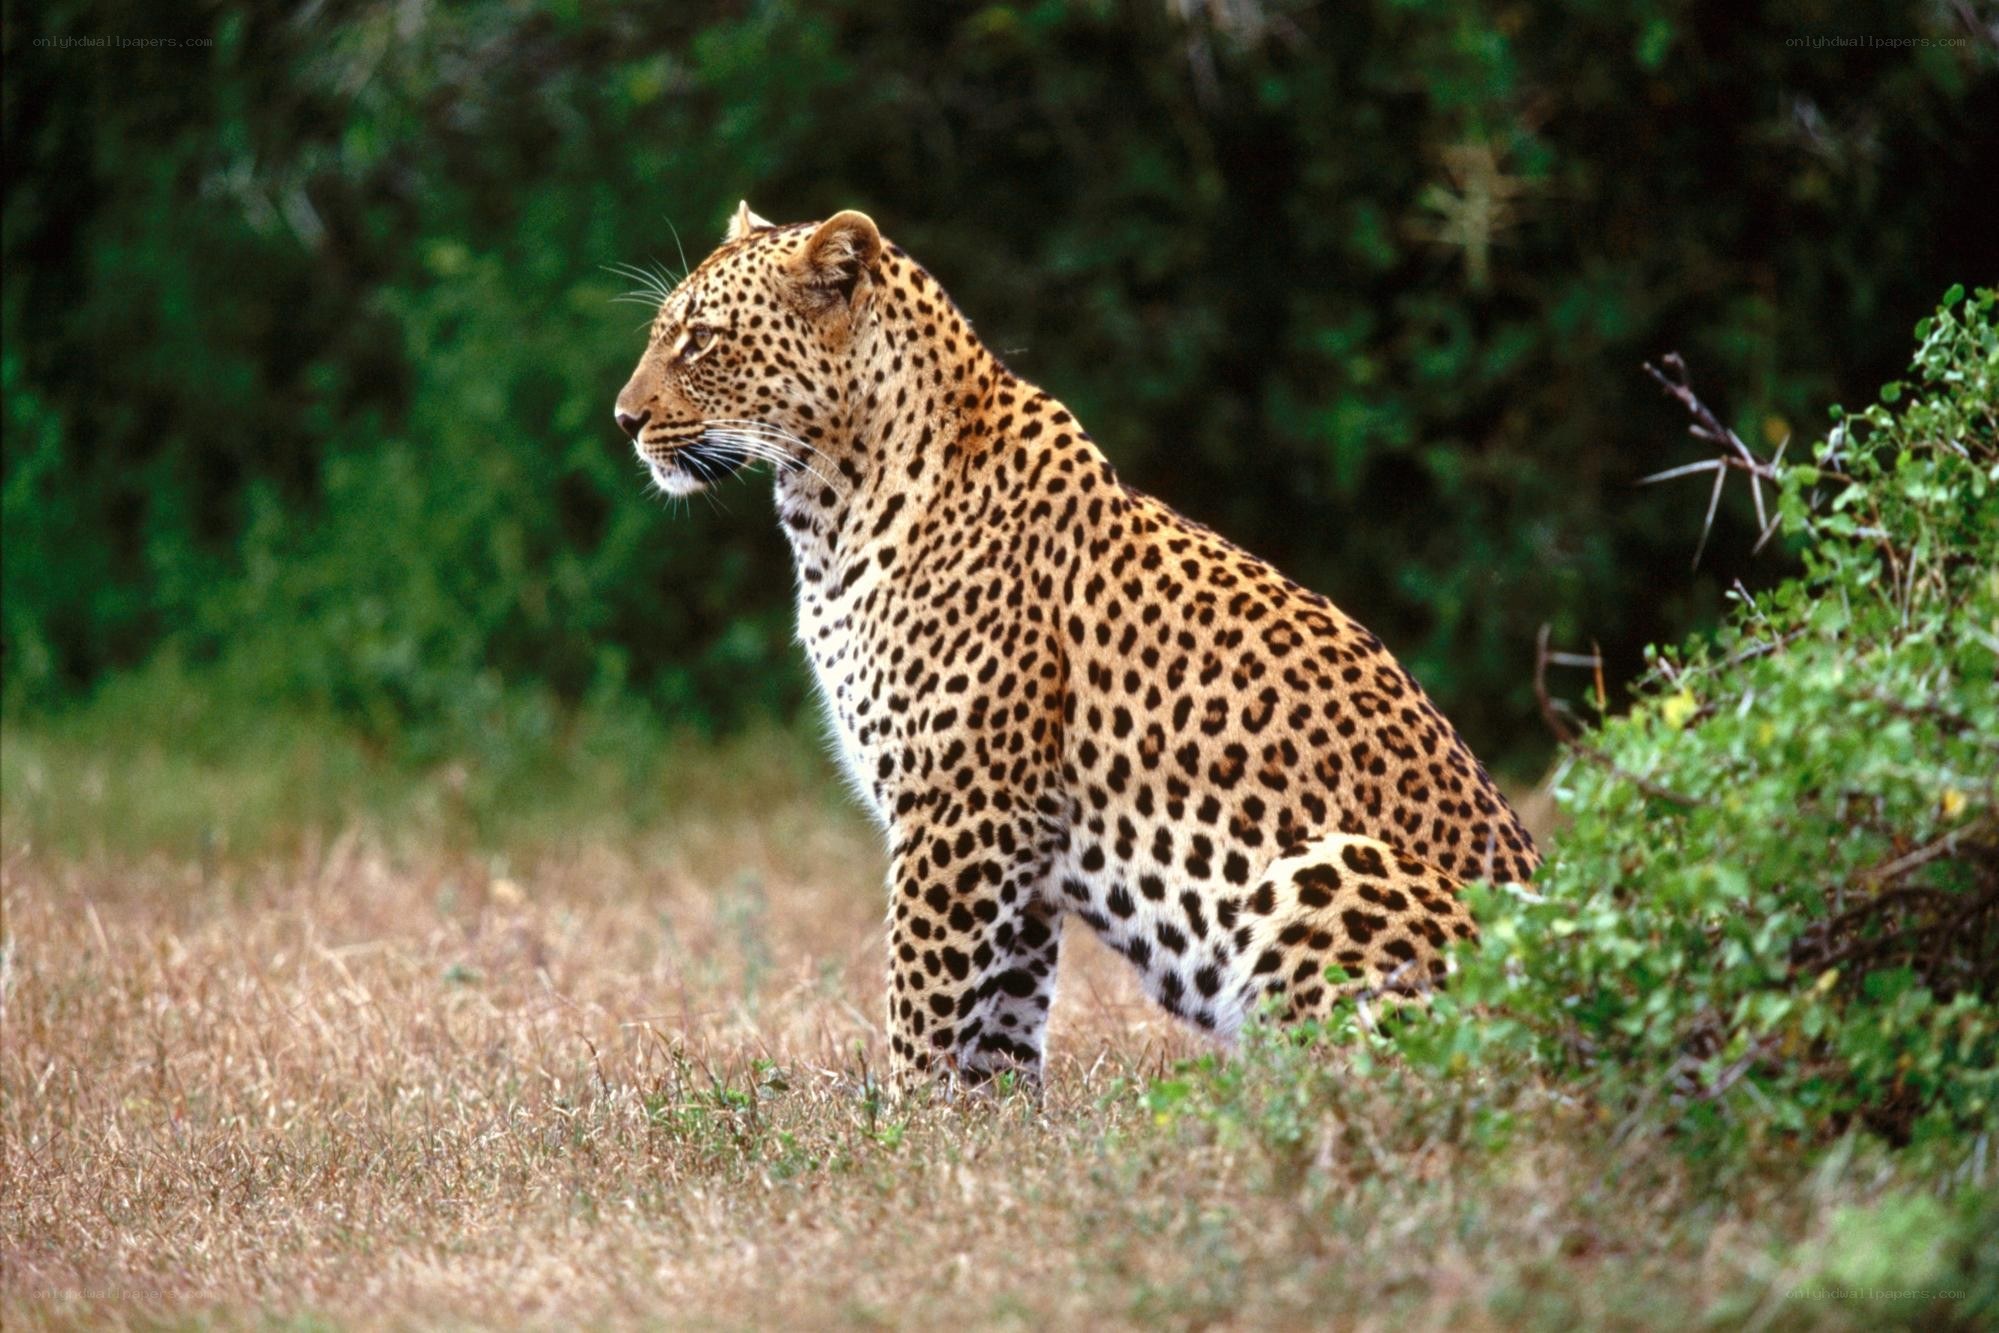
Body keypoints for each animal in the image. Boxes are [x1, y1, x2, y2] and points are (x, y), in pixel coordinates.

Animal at [613, 202, 1540, 1085]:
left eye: (701, 339)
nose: (624, 419)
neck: (827, 507)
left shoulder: (962, 809)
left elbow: (921, 1004)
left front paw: (898, 1128)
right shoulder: (1018, 851)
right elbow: (1000, 1027)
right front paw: (983, 1135)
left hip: (1333, 866)